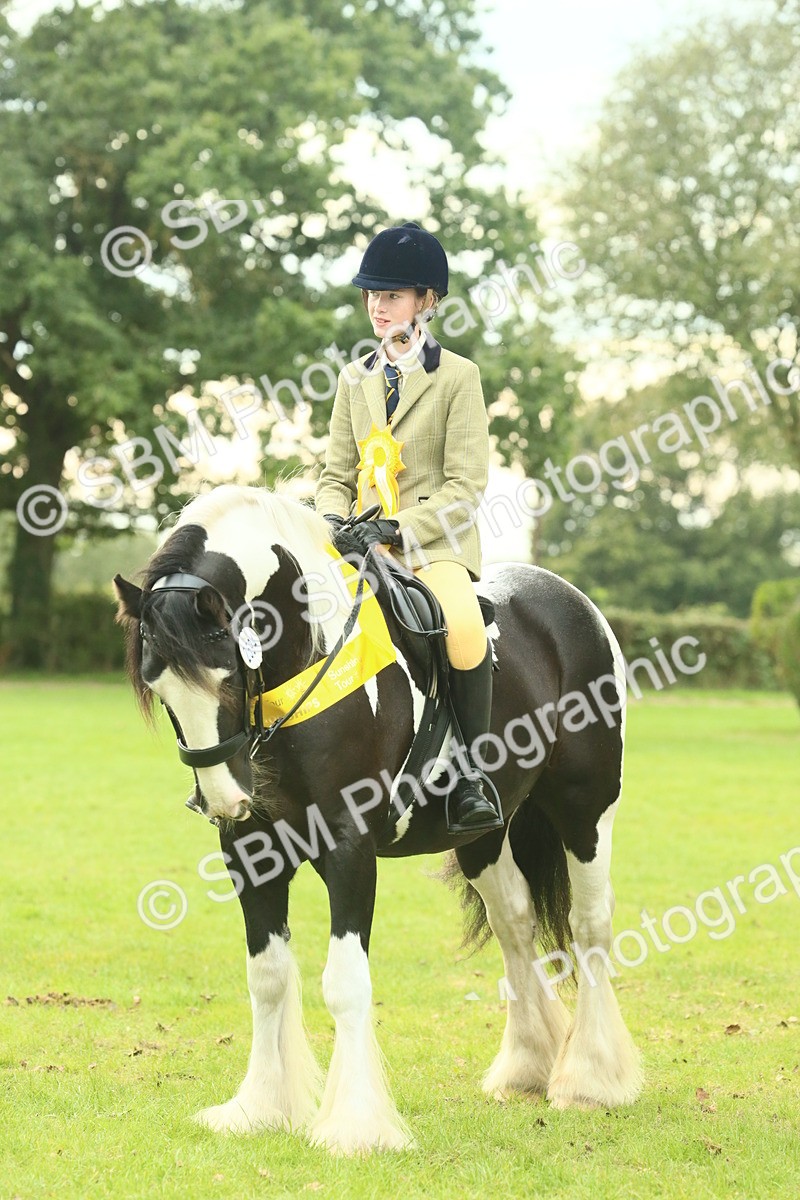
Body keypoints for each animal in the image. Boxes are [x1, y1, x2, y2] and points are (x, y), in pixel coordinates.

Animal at [113, 483, 642, 1154]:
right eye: (159, 689)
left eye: (228, 676)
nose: (225, 800)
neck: (305, 661)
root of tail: (575, 605)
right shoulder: (252, 852)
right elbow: (268, 977)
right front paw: (260, 1108)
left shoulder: (348, 848)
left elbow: (345, 983)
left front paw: (356, 1125)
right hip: (482, 835)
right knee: (515, 922)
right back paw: (527, 1067)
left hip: (585, 806)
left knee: (590, 924)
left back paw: (591, 1080)